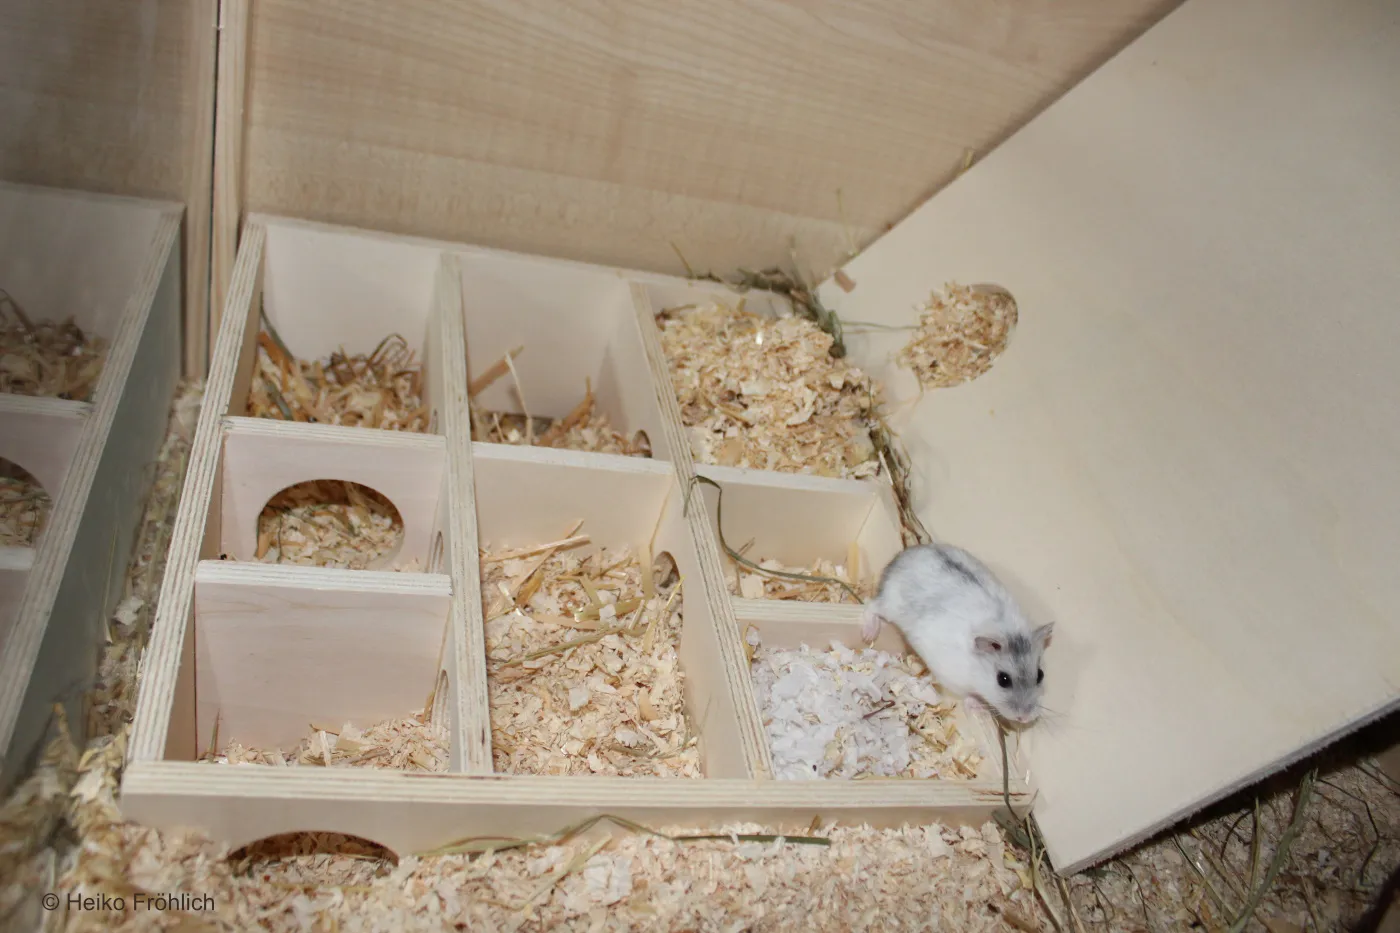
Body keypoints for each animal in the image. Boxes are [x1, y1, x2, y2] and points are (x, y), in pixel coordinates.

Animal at [861, 542, 1053, 725]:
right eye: (1003, 679)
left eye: (1040, 675)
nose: (1025, 718)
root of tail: (897, 559)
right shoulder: (951, 677)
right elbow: (966, 695)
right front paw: (978, 707)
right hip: (889, 605)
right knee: (871, 605)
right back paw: (869, 633)